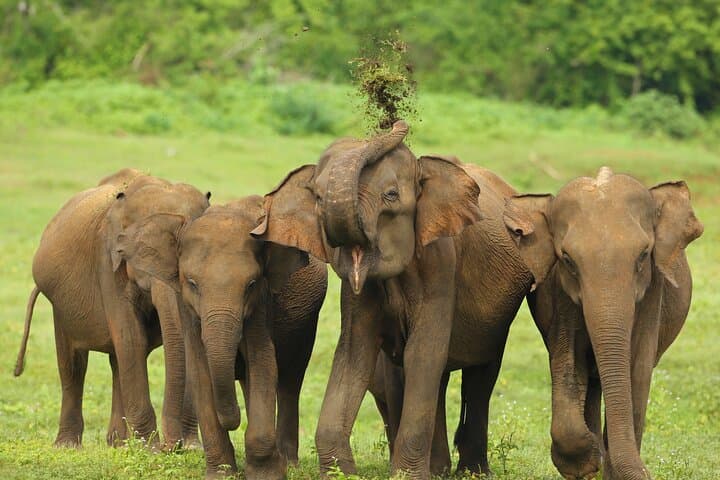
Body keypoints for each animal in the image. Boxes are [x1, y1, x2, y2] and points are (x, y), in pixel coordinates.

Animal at [14, 168, 209, 449]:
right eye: (141, 253)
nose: (173, 446)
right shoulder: (107, 261)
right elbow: (131, 337)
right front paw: (151, 450)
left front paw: (190, 448)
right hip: (60, 305)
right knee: (73, 364)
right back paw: (69, 446)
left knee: (118, 360)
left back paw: (118, 443)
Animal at [129, 196, 327, 479]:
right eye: (192, 283)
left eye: (251, 284)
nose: (234, 421)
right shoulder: (188, 310)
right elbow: (200, 372)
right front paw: (222, 473)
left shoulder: (261, 303)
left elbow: (263, 363)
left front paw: (267, 474)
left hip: (306, 320)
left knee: (290, 380)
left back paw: (289, 463)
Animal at [251, 120, 536, 479]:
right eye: (316, 197)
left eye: (391, 196)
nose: (395, 123)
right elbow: (354, 353)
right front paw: (344, 473)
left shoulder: (441, 264)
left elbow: (423, 353)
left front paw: (406, 475)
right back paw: (439, 469)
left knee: (480, 377)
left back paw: (471, 472)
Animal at [503, 167, 703, 480]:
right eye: (567, 260)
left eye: (643, 255)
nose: (647, 472)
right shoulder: (561, 295)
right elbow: (568, 363)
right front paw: (585, 461)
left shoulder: (652, 294)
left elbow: (637, 372)